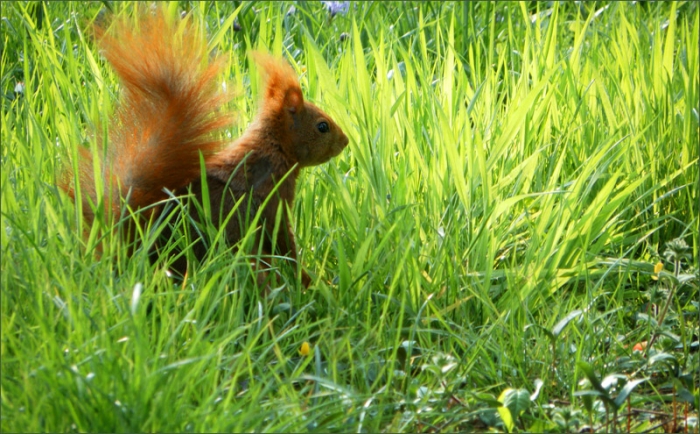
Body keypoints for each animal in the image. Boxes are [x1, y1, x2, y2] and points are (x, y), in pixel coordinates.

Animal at [60, 8, 349, 286]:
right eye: (322, 126)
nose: (345, 142)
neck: (273, 149)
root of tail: (141, 255)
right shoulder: (274, 199)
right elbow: (285, 244)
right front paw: (310, 281)